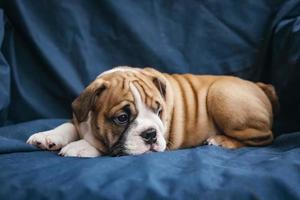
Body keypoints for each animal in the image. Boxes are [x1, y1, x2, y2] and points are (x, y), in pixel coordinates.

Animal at [27, 66, 278, 157]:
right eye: (122, 118)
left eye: (159, 111)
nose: (151, 134)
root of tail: (259, 85)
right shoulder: (80, 117)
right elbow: (68, 125)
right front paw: (47, 136)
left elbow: (102, 145)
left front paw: (80, 146)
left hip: (221, 93)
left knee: (265, 138)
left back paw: (221, 141)